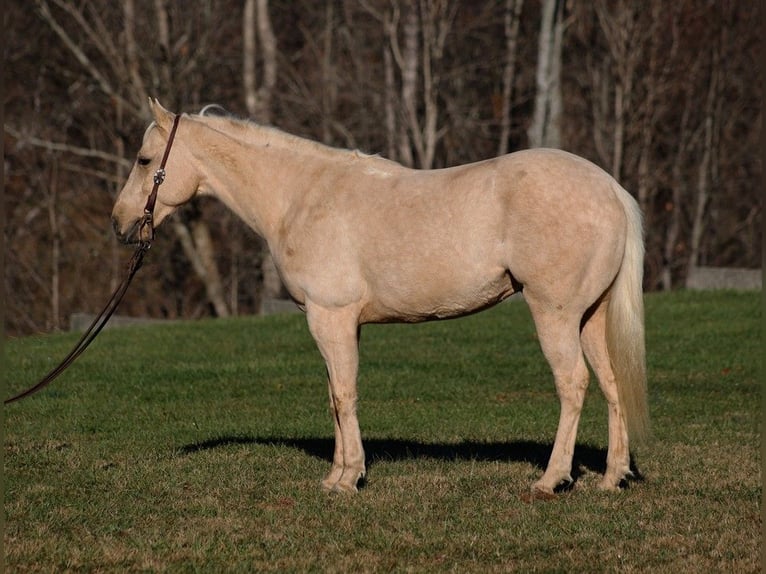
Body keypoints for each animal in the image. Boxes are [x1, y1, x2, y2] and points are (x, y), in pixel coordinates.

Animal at [111, 101, 648, 498]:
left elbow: (345, 395)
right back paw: (611, 477)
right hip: (590, 317)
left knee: (573, 384)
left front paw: (349, 478)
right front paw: (335, 475)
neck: (300, 196)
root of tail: (610, 188)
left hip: (554, 314)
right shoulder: (340, 324)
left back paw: (551, 480)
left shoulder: (329, 317)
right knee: (611, 383)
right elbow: (334, 395)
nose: (119, 223)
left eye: (143, 160)